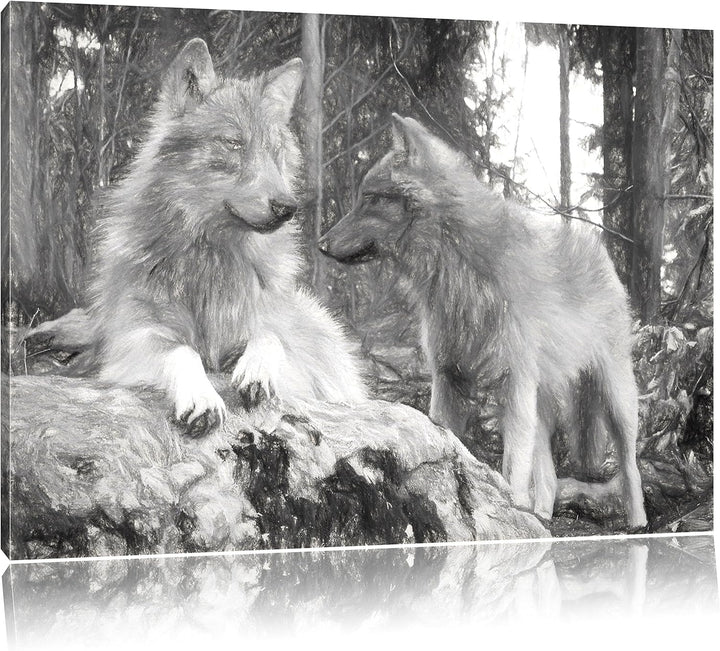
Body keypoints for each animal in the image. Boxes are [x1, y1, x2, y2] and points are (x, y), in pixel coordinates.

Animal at [86, 38, 366, 437]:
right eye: (233, 143)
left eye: (275, 152)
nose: (287, 207)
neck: (211, 259)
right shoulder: (131, 342)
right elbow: (182, 351)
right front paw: (201, 398)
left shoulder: (279, 347)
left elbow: (269, 338)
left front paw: (256, 372)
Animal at [318, 114, 647, 529]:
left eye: (370, 199)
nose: (320, 244)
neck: (459, 270)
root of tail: (597, 247)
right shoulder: (449, 378)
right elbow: (449, 443)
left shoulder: (514, 385)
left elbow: (512, 470)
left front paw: (508, 513)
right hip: (540, 407)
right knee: (549, 478)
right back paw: (541, 520)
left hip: (613, 399)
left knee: (629, 466)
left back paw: (637, 523)